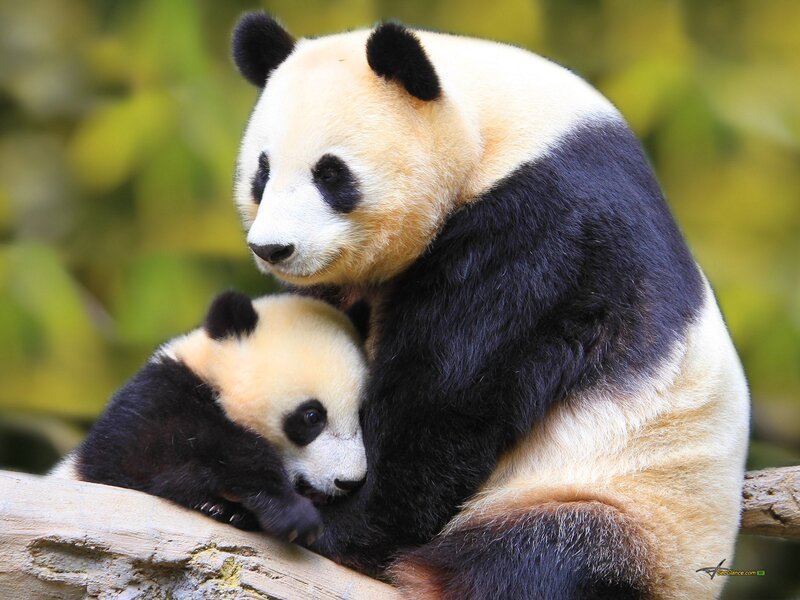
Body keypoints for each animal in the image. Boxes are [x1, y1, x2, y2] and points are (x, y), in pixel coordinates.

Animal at [50, 291, 369, 545]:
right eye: (312, 417)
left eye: (360, 414)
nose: (349, 481)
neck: (213, 378)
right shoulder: (151, 402)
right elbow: (158, 454)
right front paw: (292, 513)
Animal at [230, 13, 750, 600]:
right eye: (262, 172)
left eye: (331, 174)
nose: (273, 248)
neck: (494, 130)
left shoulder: (543, 228)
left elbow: (448, 395)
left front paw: (331, 524)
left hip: (627, 505)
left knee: (544, 557)